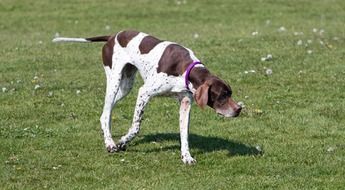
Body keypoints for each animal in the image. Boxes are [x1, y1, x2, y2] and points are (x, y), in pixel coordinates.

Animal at [53, 30, 242, 164]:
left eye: (230, 93)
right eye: (222, 95)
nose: (239, 109)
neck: (185, 68)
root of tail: (113, 36)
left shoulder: (185, 103)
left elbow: (184, 134)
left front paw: (186, 156)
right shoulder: (144, 92)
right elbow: (136, 126)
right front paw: (123, 141)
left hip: (126, 86)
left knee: (105, 112)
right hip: (114, 81)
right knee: (106, 113)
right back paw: (110, 143)